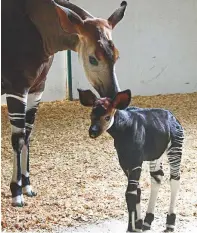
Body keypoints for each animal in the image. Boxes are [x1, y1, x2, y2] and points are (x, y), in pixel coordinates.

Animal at [77, 88, 184, 231]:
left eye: (107, 117)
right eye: (91, 115)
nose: (92, 132)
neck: (123, 130)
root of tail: (173, 116)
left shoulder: (135, 161)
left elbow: (130, 194)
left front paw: (131, 228)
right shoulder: (124, 162)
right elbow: (137, 191)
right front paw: (138, 224)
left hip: (175, 147)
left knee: (175, 179)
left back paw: (170, 223)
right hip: (156, 154)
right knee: (157, 177)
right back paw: (147, 221)